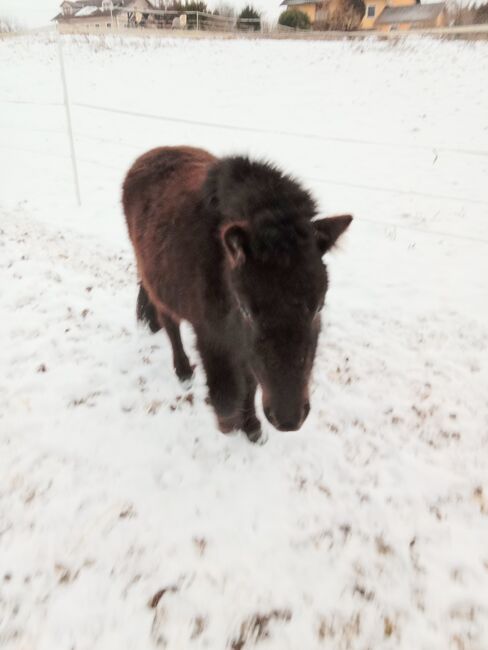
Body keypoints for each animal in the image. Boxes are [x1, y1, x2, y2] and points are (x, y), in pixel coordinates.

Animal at [122, 147, 350, 440]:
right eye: (246, 310)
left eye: (318, 307)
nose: (288, 419)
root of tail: (147, 157)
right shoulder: (212, 337)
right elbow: (231, 387)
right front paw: (232, 421)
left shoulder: (246, 351)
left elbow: (251, 385)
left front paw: (252, 426)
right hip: (160, 290)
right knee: (170, 326)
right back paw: (183, 371)